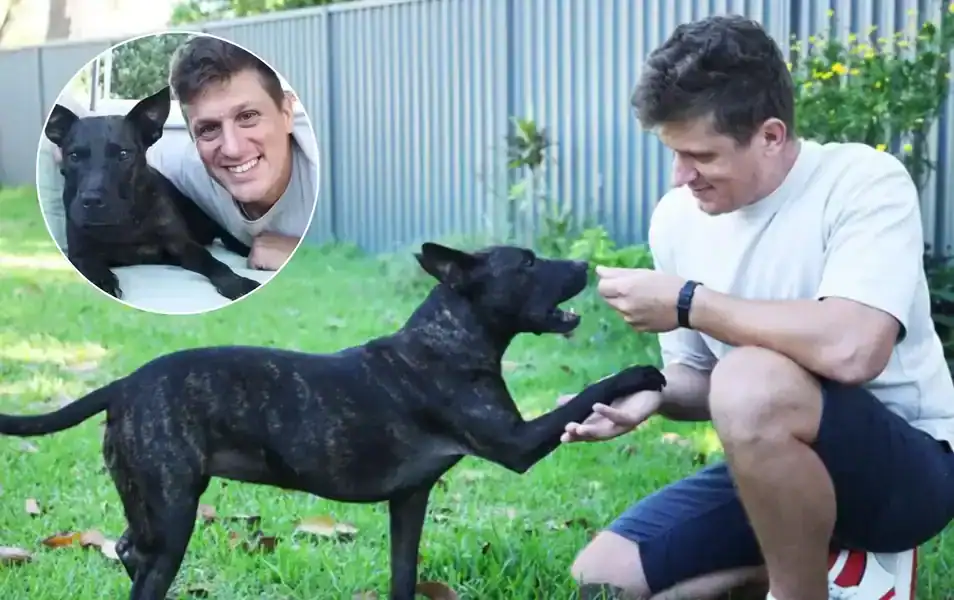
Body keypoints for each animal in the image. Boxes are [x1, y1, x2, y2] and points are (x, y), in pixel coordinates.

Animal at [0, 242, 666, 600]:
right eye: (526, 263)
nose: (584, 264)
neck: (448, 338)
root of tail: (123, 385)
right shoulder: (517, 443)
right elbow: (585, 396)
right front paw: (639, 374)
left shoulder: (410, 501)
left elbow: (403, 573)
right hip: (173, 510)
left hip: (153, 502)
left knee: (127, 548)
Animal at [43, 86, 260, 301]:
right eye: (74, 156)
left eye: (123, 154)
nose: (92, 201)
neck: (126, 222)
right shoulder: (79, 252)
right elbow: (90, 265)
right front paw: (103, 281)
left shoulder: (183, 245)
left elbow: (214, 262)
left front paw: (236, 282)